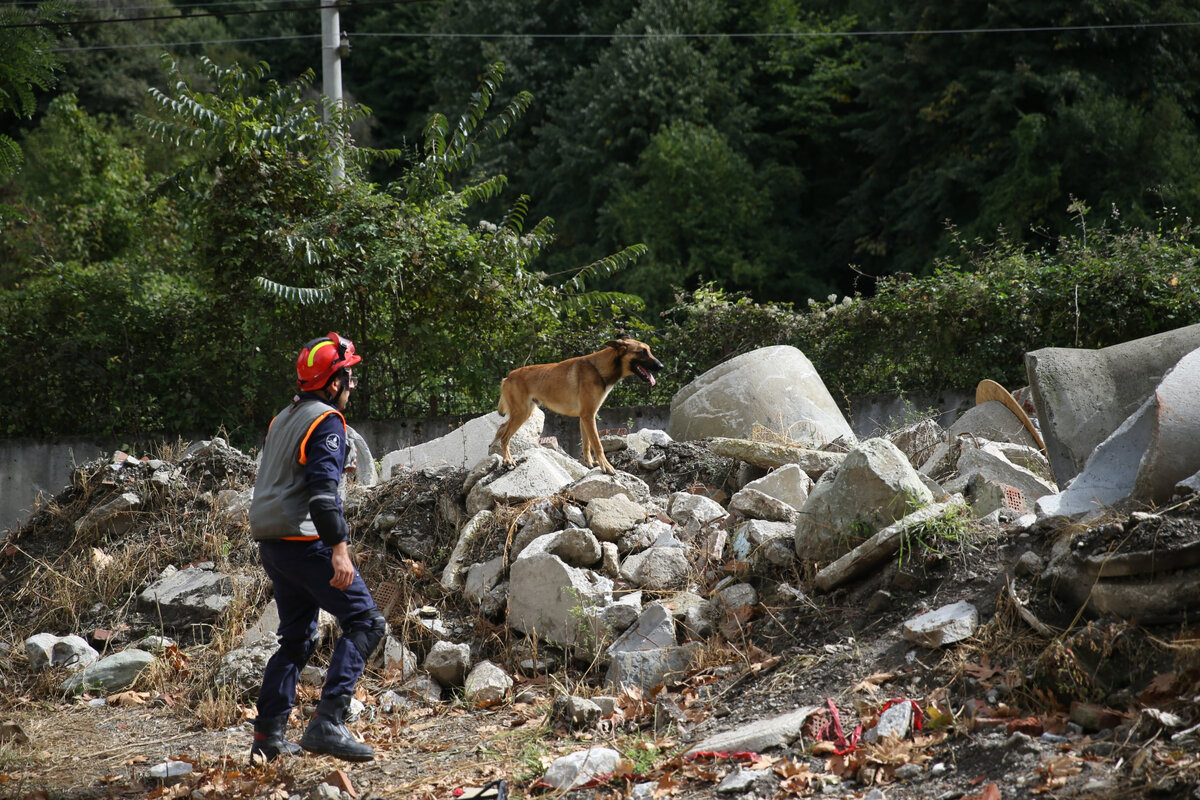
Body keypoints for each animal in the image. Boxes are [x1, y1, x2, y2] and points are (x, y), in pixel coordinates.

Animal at [494, 338, 667, 474]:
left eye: (649, 351)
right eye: (642, 352)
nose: (662, 366)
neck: (599, 369)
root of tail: (508, 377)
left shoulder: (585, 417)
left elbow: (586, 444)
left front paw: (589, 463)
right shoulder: (588, 416)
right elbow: (597, 445)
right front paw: (606, 467)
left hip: (524, 413)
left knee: (501, 429)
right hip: (521, 413)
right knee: (505, 437)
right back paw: (508, 460)